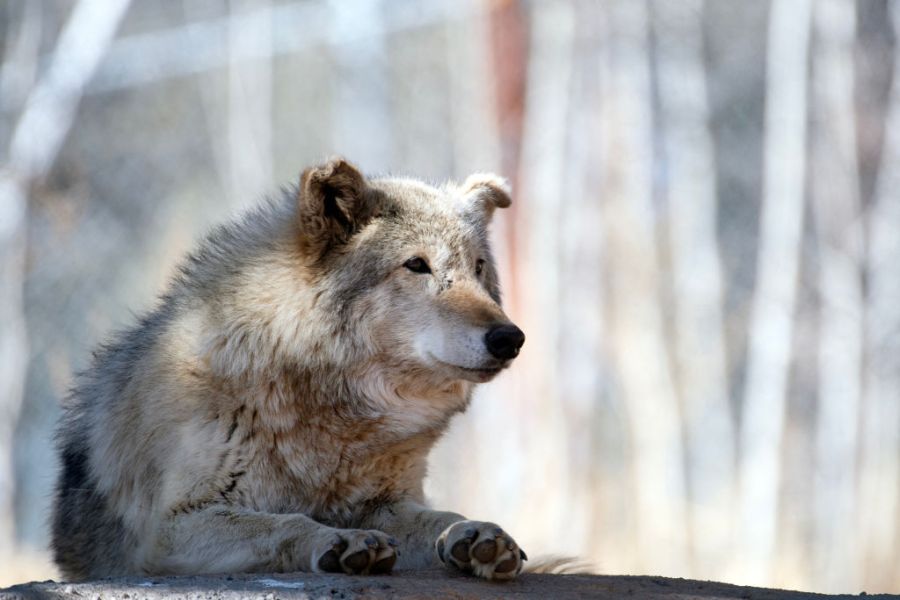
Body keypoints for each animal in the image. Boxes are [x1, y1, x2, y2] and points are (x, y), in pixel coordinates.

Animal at [51, 158, 528, 582]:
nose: (510, 338)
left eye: (478, 268)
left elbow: (438, 517)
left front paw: (471, 534)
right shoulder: (173, 526)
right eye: (417, 265)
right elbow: (285, 523)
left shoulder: (385, 503)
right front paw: (341, 542)